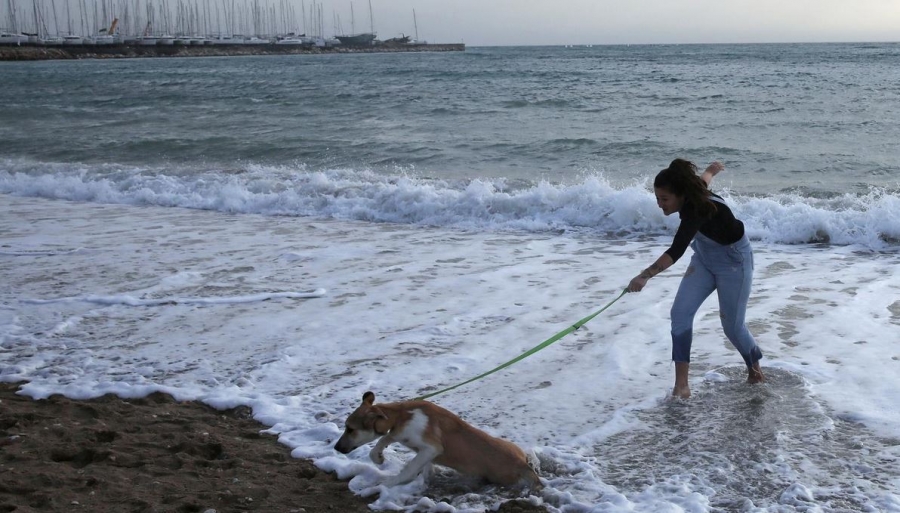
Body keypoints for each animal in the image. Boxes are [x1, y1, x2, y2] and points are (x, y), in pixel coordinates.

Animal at [332, 390, 536, 486]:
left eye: (350, 429)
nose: (336, 448)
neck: (401, 415)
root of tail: (522, 464)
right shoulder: (405, 437)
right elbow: (386, 439)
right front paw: (378, 457)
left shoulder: (432, 448)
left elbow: (409, 467)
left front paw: (390, 482)